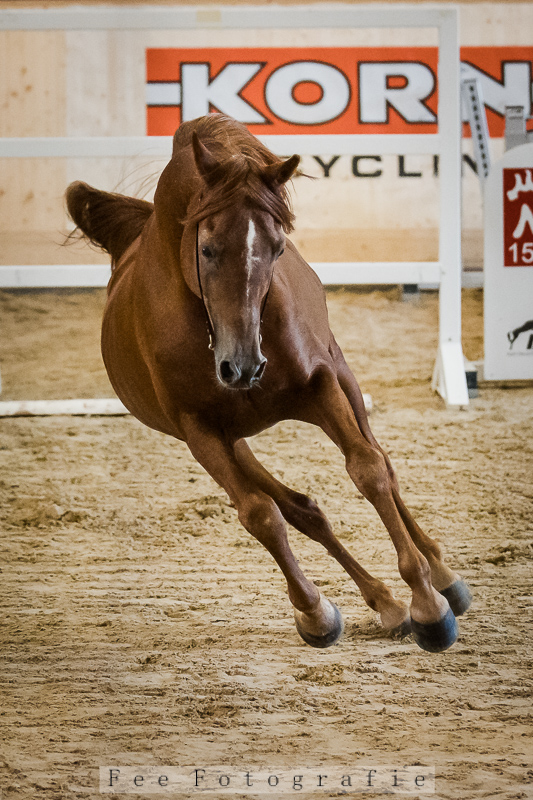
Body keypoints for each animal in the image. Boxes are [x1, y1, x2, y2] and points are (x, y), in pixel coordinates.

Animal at [66, 113, 471, 652]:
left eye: (278, 248)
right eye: (207, 248)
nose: (242, 366)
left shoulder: (322, 386)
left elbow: (368, 470)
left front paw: (429, 604)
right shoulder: (200, 432)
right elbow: (261, 514)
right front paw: (317, 612)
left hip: (344, 380)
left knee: (381, 462)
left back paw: (442, 577)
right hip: (236, 441)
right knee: (301, 509)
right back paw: (384, 603)